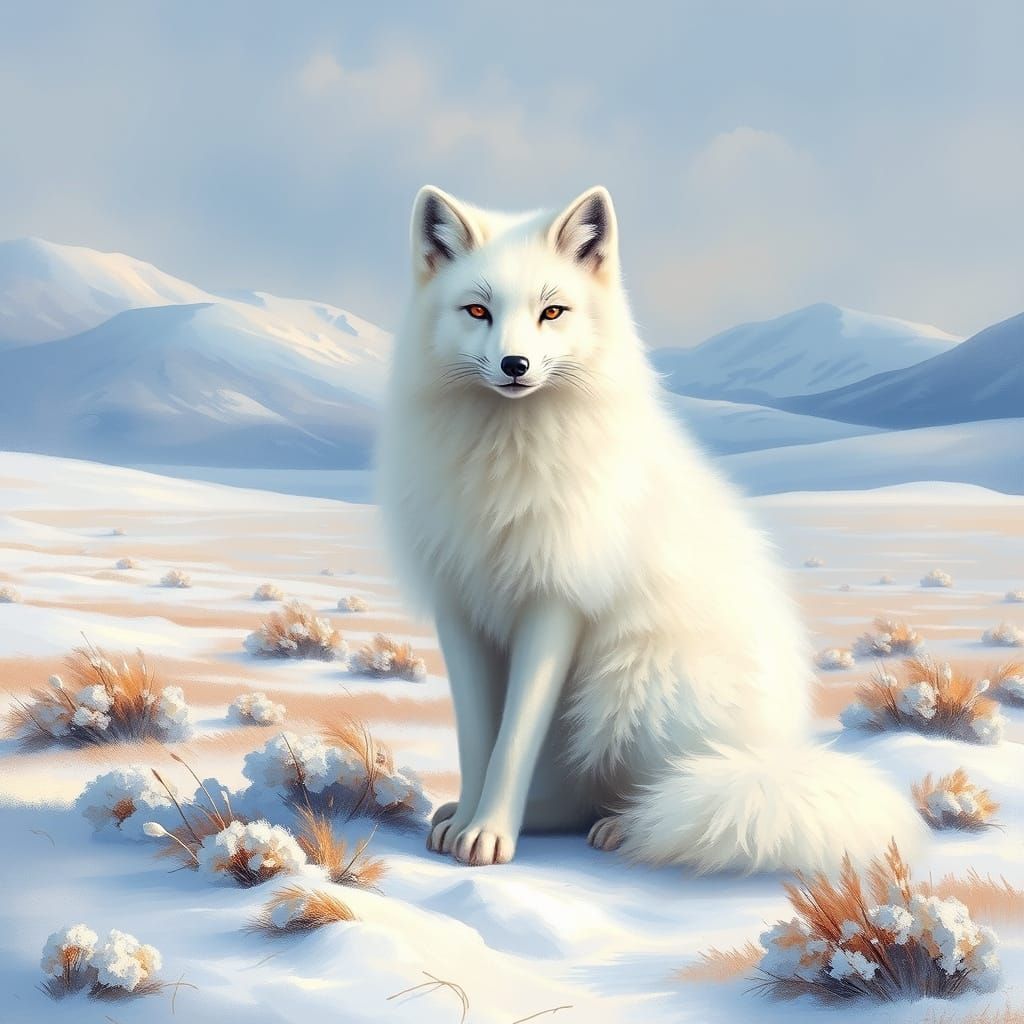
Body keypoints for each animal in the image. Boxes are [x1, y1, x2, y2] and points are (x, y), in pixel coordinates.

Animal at [377, 184, 925, 874]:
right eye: (477, 310)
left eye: (552, 311)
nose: (515, 363)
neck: (503, 460)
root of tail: (773, 759)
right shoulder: (459, 606)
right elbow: (479, 740)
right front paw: (468, 823)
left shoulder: (555, 601)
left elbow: (513, 741)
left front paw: (490, 834)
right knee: (574, 797)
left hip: (633, 679)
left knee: (656, 791)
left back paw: (624, 825)